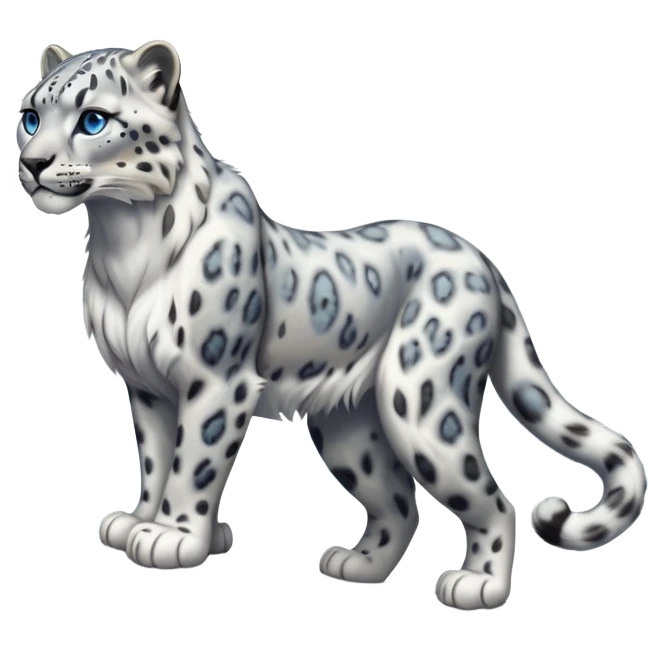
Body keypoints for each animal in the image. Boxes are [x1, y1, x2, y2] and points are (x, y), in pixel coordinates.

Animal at [18, 41, 647, 609]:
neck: (122, 243)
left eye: (93, 119)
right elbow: (153, 457)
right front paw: (141, 520)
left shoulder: (214, 380)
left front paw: (172, 536)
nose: (31, 164)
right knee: (398, 501)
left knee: (493, 498)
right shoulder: (146, 385)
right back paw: (358, 565)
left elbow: (192, 463)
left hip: (422, 401)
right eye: (30, 117)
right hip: (350, 428)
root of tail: (483, 261)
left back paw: (478, 586)